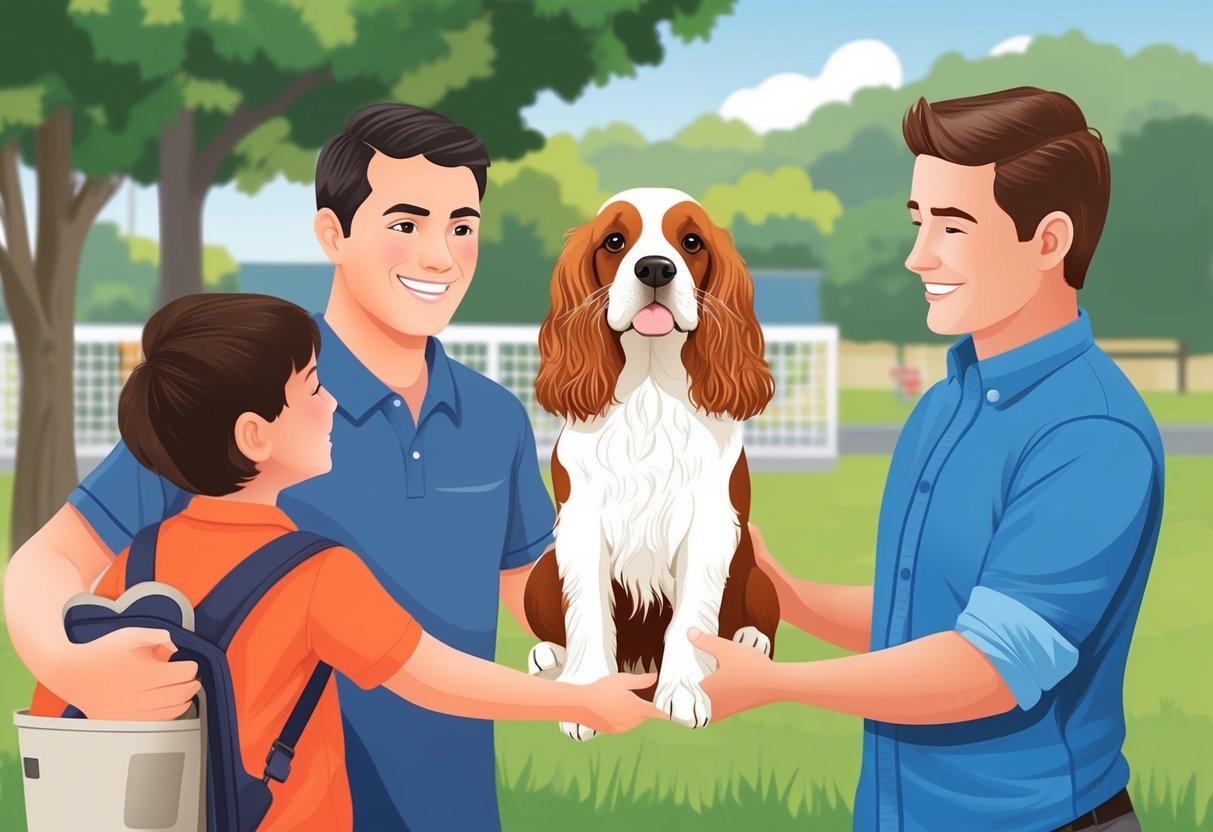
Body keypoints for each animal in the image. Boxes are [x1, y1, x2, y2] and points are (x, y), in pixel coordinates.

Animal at [526, 185, 781, 742]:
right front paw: (587, 695)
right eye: (614, 241)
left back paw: (747, 642)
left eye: (692, 242)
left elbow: (691, 616)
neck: (649, 385)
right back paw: (550, 656)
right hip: (543, 571)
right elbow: (588, 610)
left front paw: (683, 692)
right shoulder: (582, 523)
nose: (656, 269)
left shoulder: (710, 525)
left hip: (754, 570)